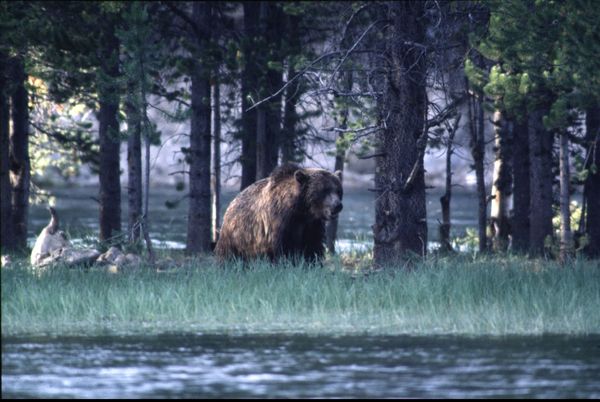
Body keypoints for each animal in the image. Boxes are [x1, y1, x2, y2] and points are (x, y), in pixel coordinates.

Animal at [214, 163, 342, 264]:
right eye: (324, 190)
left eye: (338, 190)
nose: (337, 205)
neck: (302, 211)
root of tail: (231, 204)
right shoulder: (279, 223)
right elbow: (281, 249)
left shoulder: (312, 225)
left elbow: (313, 247)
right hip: (236, 237)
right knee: (229, 256)